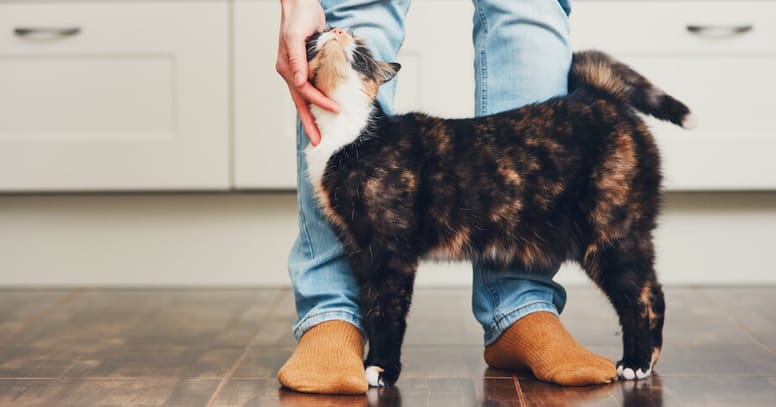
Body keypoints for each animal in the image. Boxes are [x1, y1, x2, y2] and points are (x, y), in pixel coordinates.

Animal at [304, 27, 692, 386]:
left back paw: (636, 362)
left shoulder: (391, 251)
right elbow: (371, 307)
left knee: (641, 297)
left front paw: (382, 368)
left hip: (611, 234)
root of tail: (597, 95)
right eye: (317, 36)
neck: (348, 135)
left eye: (361, 47)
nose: (337, 30)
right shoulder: (360, 250)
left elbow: (388, 312)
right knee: (651, 292)